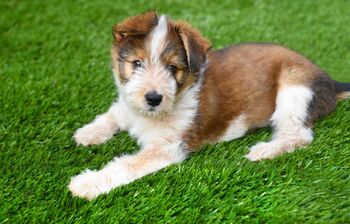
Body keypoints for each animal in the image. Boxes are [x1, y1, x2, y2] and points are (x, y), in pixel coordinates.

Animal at [68, 10, 350, 200]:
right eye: (137, 63)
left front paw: (86, 183)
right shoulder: (127, 105)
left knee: (299, 135)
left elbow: (126, 165)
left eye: (172, 69)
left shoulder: (167, 147)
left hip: (294, 89)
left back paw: (263, 151)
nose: (153, 98)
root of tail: (332, 81)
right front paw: (88, 133)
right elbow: (112, 114)